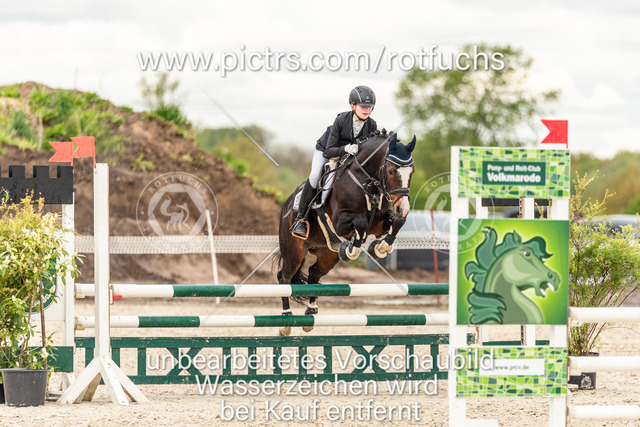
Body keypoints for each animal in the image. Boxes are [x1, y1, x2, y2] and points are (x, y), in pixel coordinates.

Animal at [275, 131, 416, 336]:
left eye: (411, 172)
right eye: (390, 171)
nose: (403, 208)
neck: (368, 183)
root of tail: (286, 205)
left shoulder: (380, 223)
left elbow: (396, 222)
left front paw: (380, 247)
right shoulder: (340, 222)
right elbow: (361, 222)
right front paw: (352, 249)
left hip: (327, 254)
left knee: (314, 273)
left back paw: (311, 312)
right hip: (294, 251)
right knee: (284, 277)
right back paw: (286, 320)